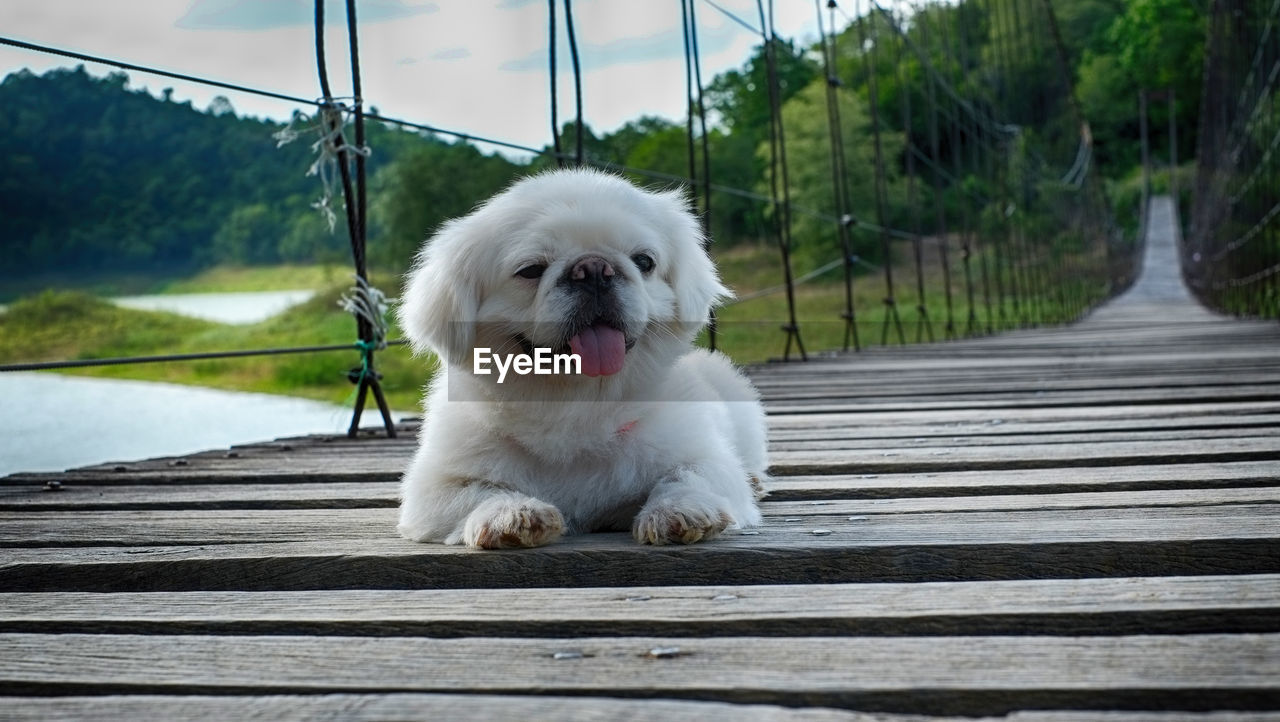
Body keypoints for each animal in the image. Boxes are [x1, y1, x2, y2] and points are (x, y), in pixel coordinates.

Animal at [394, 167, 762, 547]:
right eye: (531, 270)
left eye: (644, 262)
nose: (595, 268)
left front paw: (680, 511)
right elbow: (477, 492)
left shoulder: (707, 457)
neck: (577, 405)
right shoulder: (432, 489)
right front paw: (512, 515)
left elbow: (690, 475)